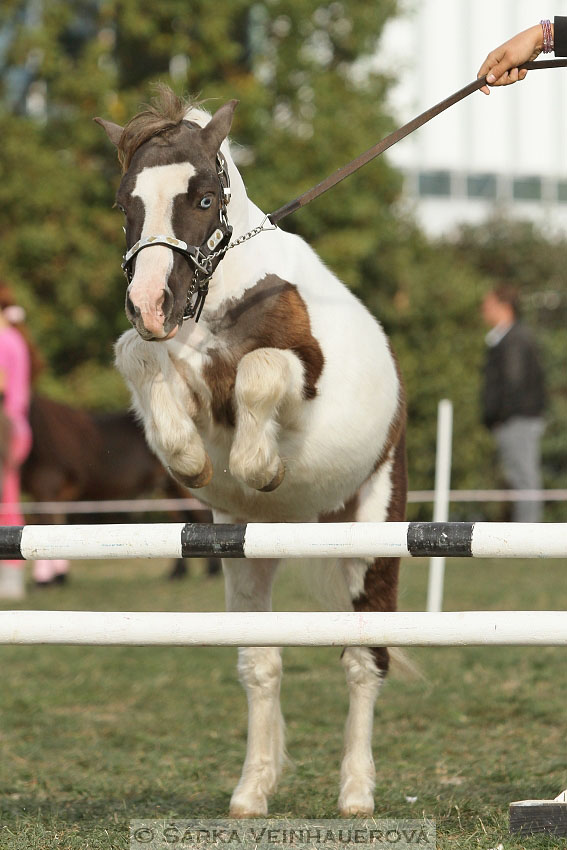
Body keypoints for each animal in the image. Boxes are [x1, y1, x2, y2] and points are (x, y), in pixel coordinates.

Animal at [98, 86, 408, 816]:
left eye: (204, 198)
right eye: (125, 204)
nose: (150, 303)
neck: (221, 295)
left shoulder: (298, 374)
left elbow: (263, 371)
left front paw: (258, 465)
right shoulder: (171, 358)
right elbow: (140, 361)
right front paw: (189, 459)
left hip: (373, 536)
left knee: (364, 661)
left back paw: (356, 793)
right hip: (246, 553)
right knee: (260, 663)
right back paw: (251, 791)